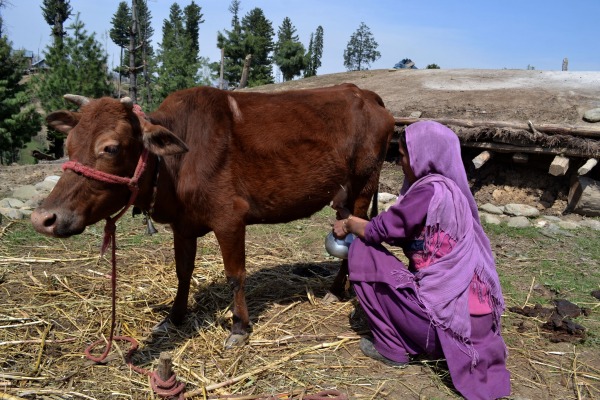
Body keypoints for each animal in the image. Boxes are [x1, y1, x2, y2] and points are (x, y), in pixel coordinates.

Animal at [32, 83, 396, 346]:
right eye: (69, 144)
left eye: (110, 147)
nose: (44, 219)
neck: (177, 166)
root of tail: (364, 94)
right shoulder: (182, 224)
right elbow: (183, 271)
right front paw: (175, 317)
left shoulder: (230, 218)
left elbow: (236, 274)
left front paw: (239, 327)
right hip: (345, 192)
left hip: (364, 184)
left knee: (354, 239)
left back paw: (335, 290)